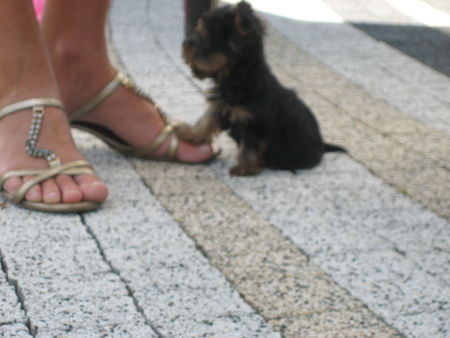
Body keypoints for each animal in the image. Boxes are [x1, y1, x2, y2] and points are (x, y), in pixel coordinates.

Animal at [177, 1, 344, 177]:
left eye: (208, 40)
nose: (186, 42)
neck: (239, 80)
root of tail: (322, 147)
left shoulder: (255, 124)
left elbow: (250, 147)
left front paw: (245, 168)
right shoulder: (220, 106)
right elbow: (206, 120)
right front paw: (191, 134)